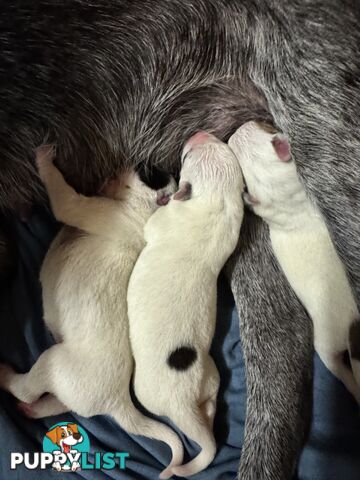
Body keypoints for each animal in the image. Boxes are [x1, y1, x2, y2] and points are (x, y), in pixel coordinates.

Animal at [0, 148, 183, 478]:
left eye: (149, 171)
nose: (128, 159)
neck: (143, 209)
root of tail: (118, 402)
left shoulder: (85, 207)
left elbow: (64, 197)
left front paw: (44, 159)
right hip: (70, 387)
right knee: (60, 404)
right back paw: (33, 410)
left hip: (54, 363)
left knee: (27, 389)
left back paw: (6, 377)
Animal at [126, 130, 245, 476]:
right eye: (219, 144)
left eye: (187, 158)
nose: (200, 133)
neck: (215, 200)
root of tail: (182, 405)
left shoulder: (163, 221)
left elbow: (151, 225)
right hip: (211, 378)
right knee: (210, 403)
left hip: (145, 391)